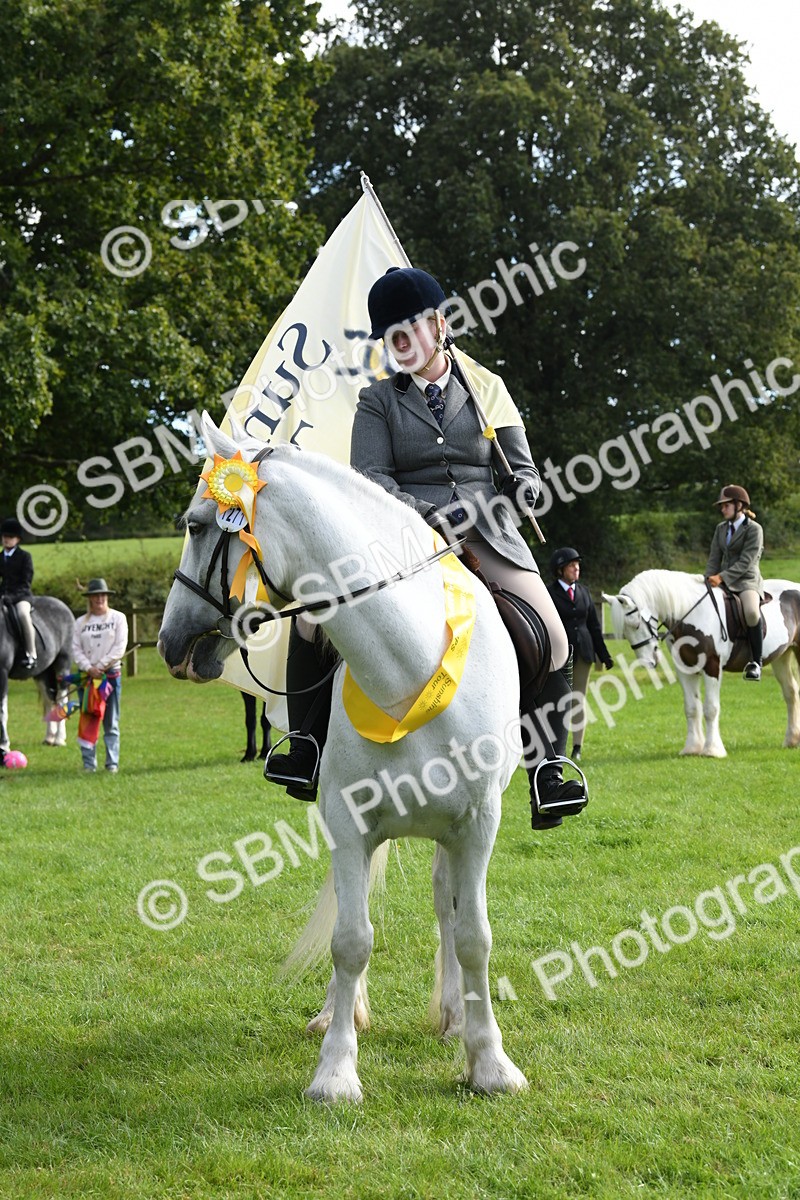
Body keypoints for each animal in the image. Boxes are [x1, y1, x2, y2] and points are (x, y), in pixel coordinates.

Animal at [0, 596, 74, 758]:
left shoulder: (2, 672)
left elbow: (2, 711)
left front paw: (3, 747)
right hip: (42, 673)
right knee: (49, 700)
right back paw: (49, 738)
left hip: (63, 665)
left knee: (61, 699)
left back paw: (59, 739)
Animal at [158, 415, 529, 1103]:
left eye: (195, 525)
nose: (171, 644)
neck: (406, 670)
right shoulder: (348, 822)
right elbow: (351, 940)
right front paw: (335, 1071)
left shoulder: (477, 824)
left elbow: (474, 936)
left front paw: (489, 1063)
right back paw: (341, 1011)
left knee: (447, 905)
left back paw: (453, 1015)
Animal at [603, 570, 800, 756]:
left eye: (635, 625)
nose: (647, 662)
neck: (690, 614)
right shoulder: (684, 668)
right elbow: (691, 708)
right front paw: (692, 748)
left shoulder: (711, 666)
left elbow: (710, 708)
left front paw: (712, 750)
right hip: (781, 657)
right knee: (790, 692)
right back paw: (792, 740)